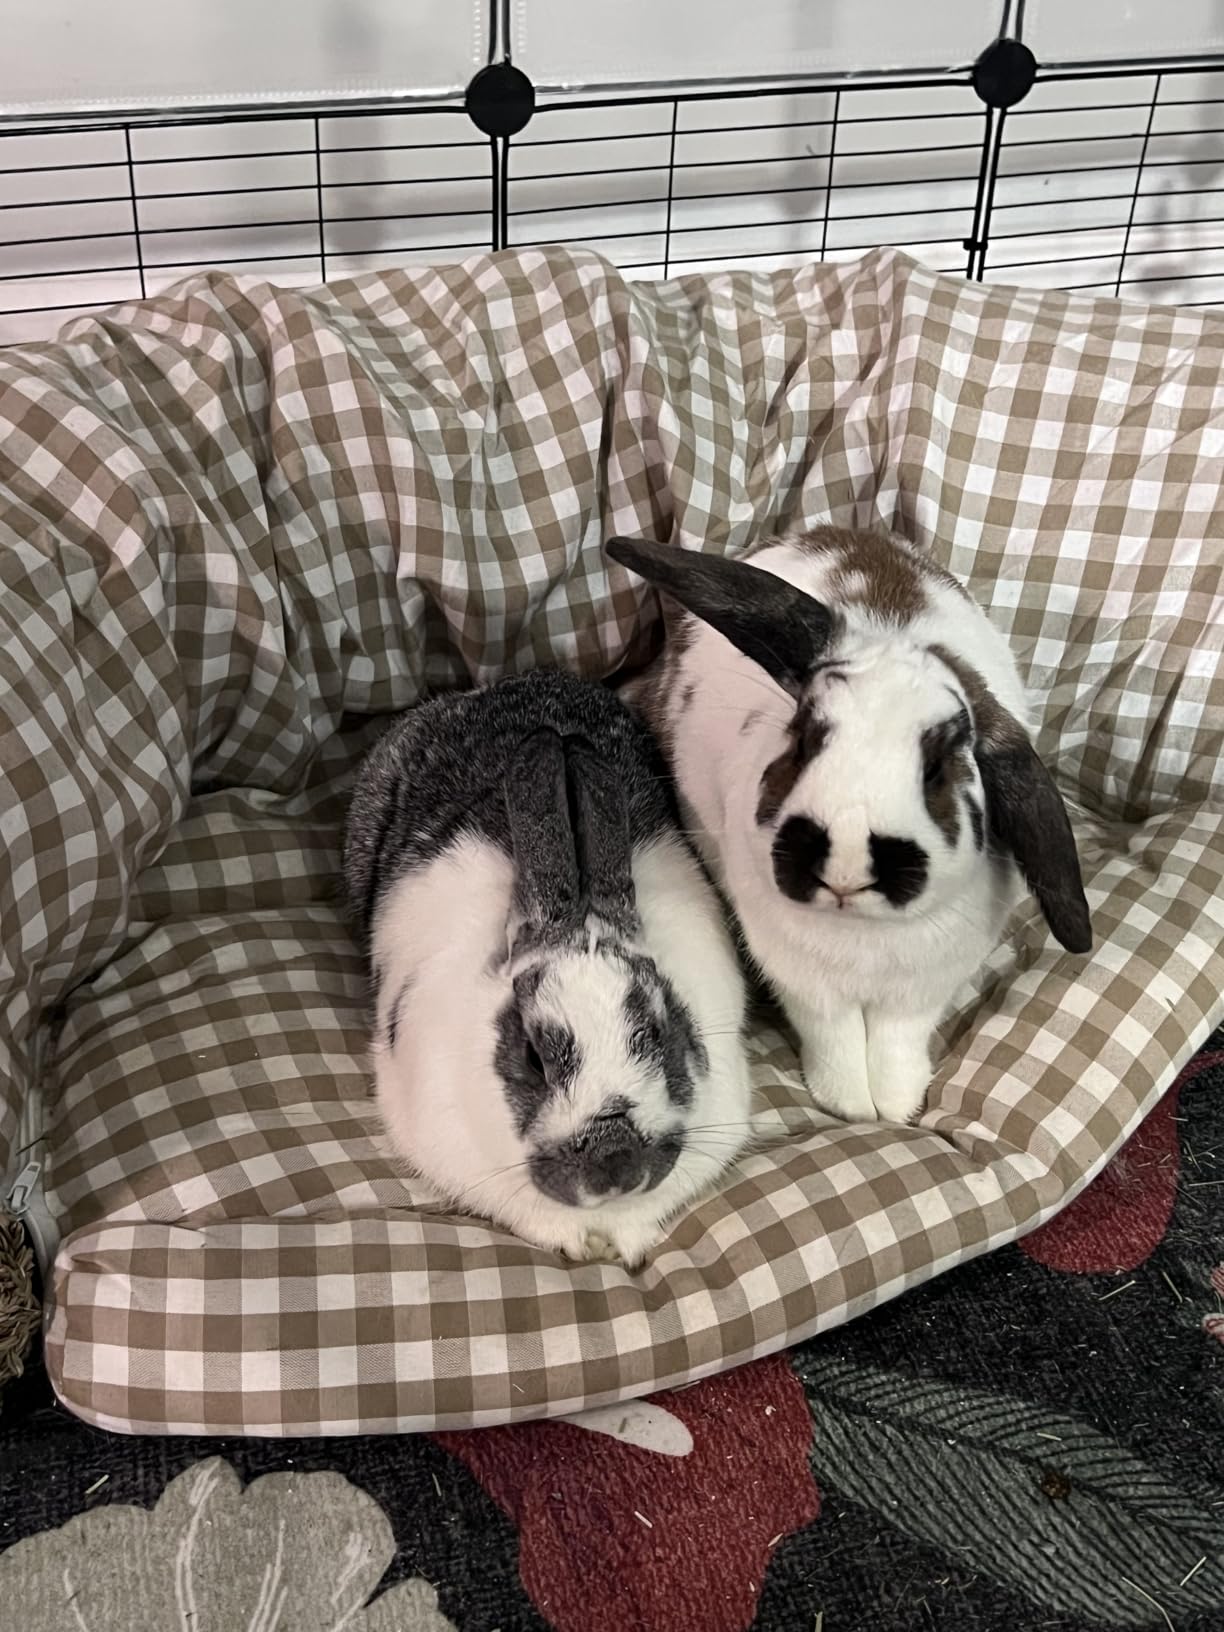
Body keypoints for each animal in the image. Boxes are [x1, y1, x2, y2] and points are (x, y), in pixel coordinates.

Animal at [605, 527, 1092, 1128]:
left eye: (938, 766)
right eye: (803, 736)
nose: (844, 863)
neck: (861, 931)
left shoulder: (922, 991)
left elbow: (896, 1042)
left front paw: (899, 1104)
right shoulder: (806, 986)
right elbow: (834, 1040)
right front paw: (852, 1107)